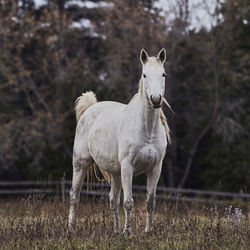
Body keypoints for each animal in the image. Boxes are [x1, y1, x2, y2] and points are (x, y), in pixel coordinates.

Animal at [68, 48, 170, 234]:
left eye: (163, 74)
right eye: (144, 75)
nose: (156, 99)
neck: (147, 130)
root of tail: (90, 108)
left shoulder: (155, 168)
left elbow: (150, 202)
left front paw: (148, 231)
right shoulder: (128, 166)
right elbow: (128, 202)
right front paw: (127, 232)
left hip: (116, 173)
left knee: (113, 200)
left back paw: (115, 230)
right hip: (81, 164)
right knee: (74, 196)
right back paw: (71, 228)